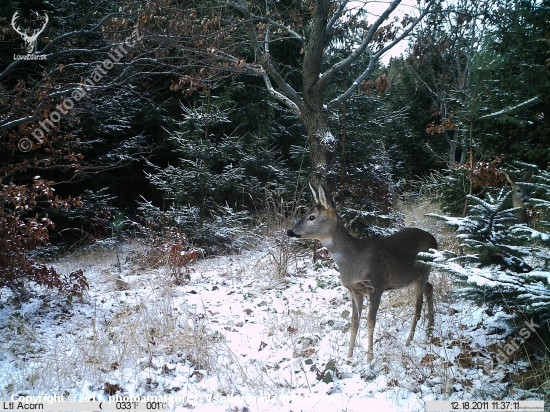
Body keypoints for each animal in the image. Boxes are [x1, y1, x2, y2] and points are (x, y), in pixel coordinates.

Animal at [288, 182, 440, 362]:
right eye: (305, 213)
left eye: (311, 217)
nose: (290, 231)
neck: (353, 259)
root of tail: (435, 240)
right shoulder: (354, 291)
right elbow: (354, 322)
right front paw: (349, 356)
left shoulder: (376, 286)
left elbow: (370, 321)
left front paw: (369, 359)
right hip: (415, 277)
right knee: (430, 288)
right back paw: (430, 328)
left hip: (424, 271)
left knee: (417, 307)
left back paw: (409, 340)